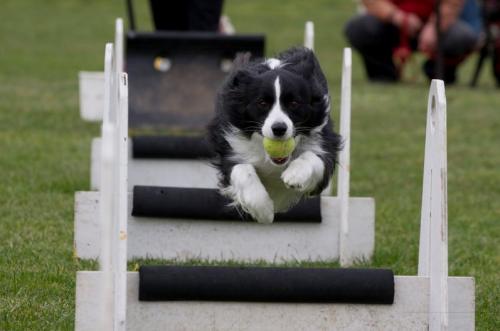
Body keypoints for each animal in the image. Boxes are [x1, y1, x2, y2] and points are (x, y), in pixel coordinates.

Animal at [207, 47, 340, 223]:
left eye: (294, 103)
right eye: (262, 103)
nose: (279, 128)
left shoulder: (324, 141)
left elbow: (313, 156)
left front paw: (295, 175)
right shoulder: (231, 146)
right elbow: (242, 168)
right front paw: (263, 210)